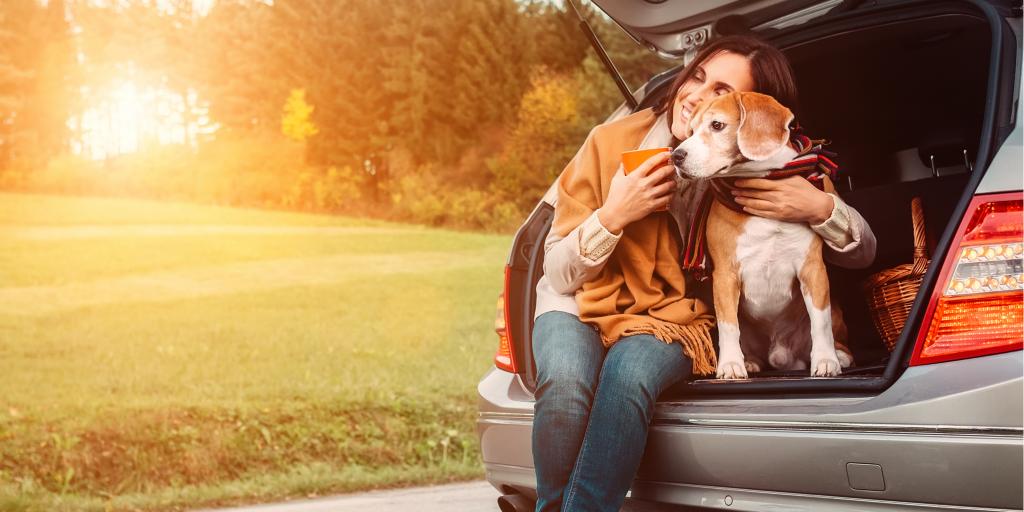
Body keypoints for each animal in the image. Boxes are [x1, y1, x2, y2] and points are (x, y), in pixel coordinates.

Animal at [675, 92, 851, 378]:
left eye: (717, 125)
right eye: (690, 131)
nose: (676, 156)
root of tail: (780, 355)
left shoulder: (812, 269)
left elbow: (820, 323)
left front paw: (826, 360)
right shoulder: (725, 276)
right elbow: (728, 326)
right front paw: (731, 364)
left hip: (834, 308)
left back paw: (842, 355)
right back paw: (750, 361)